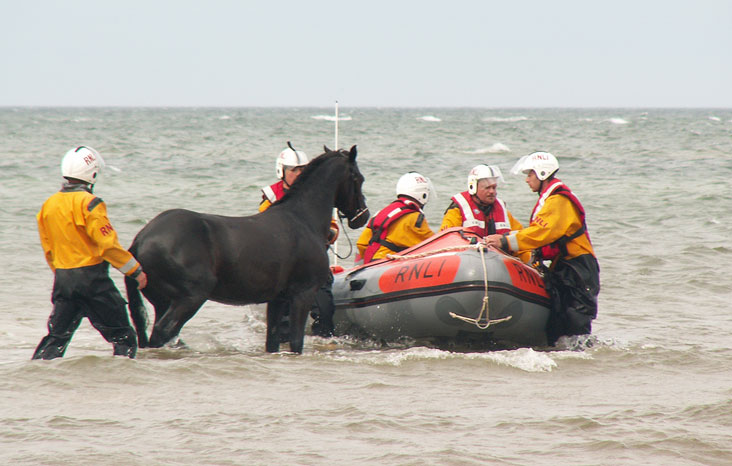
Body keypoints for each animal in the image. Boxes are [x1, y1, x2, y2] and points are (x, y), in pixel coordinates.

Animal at [123, 146, 372, 354]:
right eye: (358, 178)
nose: (363, 216)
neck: (302, 219)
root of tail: (141, 239)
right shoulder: (303, 294)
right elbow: (296, 342)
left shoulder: (278, 299)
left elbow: (272, 342)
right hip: (190, 298)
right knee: (162, 333)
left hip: (163, 302)